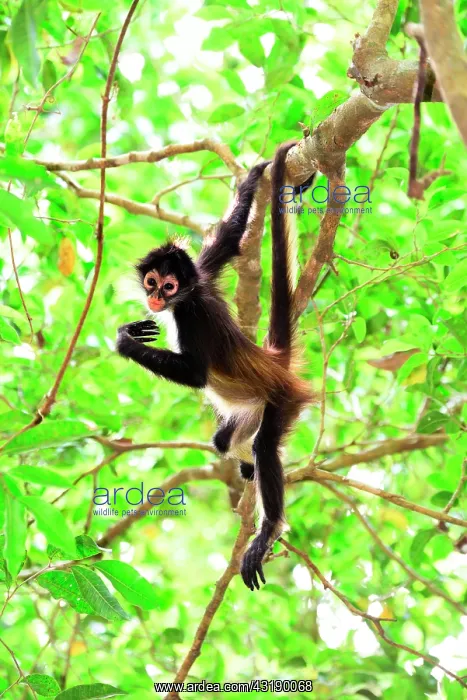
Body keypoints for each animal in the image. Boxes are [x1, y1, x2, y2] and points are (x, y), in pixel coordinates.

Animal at [116, 143, 315, 590]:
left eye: (169, 286)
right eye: (152, 281)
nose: (156, 298)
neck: (188, 296)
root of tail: (273, 363)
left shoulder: (191, 313)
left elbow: (196, 374)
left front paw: (124, 340)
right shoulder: (202, 271)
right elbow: (227, 239)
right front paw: (255, 175)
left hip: (283, 399)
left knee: (266, 444)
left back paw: (269, 525)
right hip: (253, 408)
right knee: (225, 440)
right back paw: (244, 464)